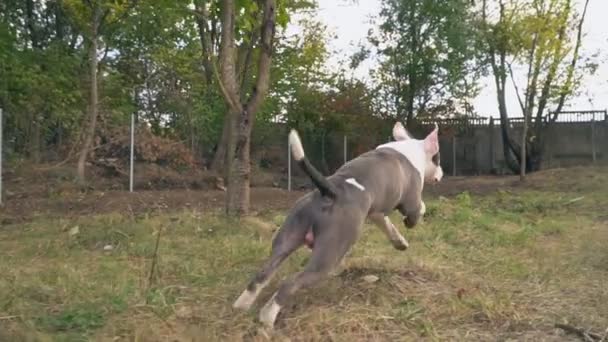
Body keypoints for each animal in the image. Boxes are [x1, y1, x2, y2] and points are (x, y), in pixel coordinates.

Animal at [232, 121, 442, 328]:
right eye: (437, 159)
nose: (441, 173)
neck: (410, 148)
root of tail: (330, 190)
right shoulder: (411, 203)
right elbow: (419, 209)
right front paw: (412, 221)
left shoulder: (376, 213)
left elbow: (387, 224)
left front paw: (400, 242)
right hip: (327, 258)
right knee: (290, 283)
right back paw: (267, 319)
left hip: (287, 238)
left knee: (261, 275)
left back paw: (241, 307)